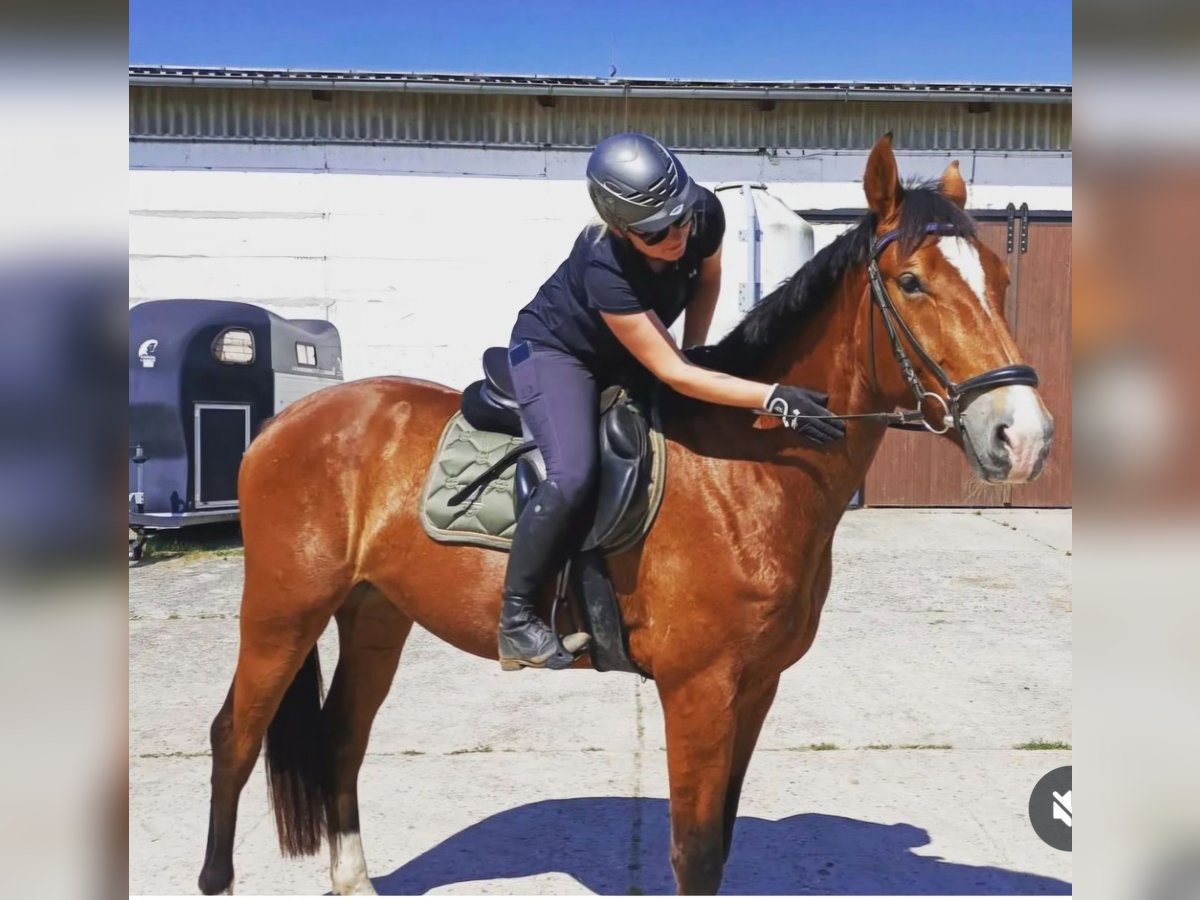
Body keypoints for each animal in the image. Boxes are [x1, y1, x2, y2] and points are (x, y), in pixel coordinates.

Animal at [194, 137, 1051, 897]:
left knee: (343, 738)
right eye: (911, 283)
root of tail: (285, 422)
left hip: (376, 613)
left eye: (1001, 273)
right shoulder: (699, 690)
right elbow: (695, 854)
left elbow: (720, 844)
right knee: (234, 736)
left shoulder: (757, 686)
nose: (1023, 436)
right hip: (282, 610)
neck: (744, 467)